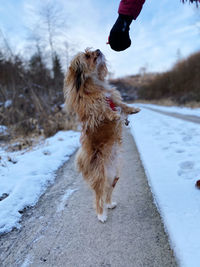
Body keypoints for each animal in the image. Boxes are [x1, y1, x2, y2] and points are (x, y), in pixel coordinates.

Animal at [63, 48, 140, 224]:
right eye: (87, 55)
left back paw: (109, 204)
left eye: (91, 50)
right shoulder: (90, 106)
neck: (95, 84)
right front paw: (113, 115)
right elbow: (101, 107)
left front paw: (133, 109)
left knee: (106, 192)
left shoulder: (113, 97)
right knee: (98, 197)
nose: (98, 50)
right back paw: (101, 215)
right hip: (100, 176)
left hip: (113, 177)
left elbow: (121, 104)